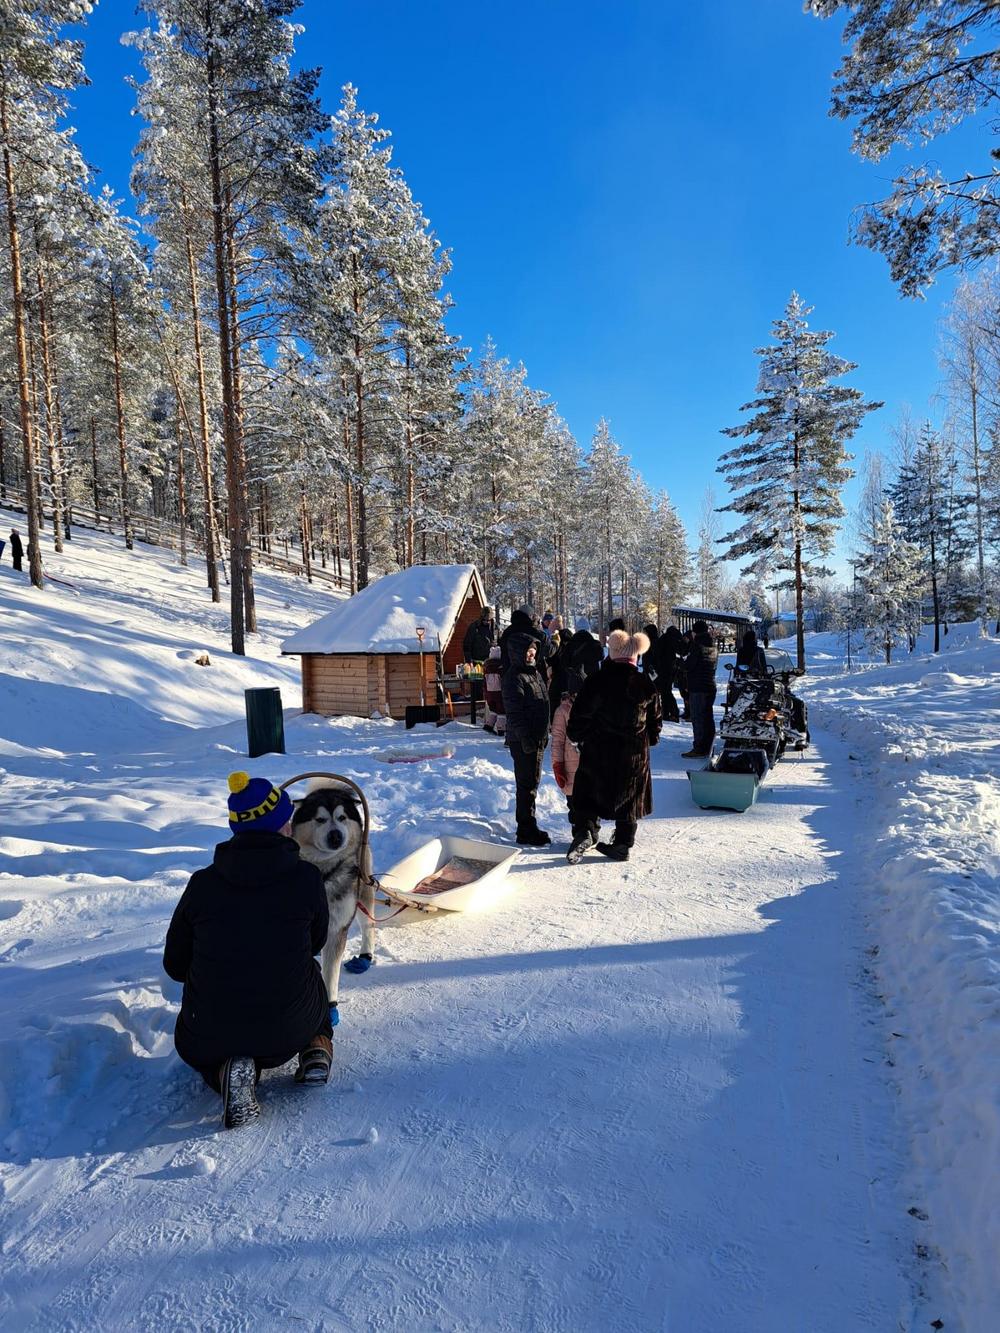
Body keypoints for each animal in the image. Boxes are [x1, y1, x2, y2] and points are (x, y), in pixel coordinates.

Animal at [290, 781, 375, 1018]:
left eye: (342, 817)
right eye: (319, 819)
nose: (336, 835)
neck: (324, 872)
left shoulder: (338, 928)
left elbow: (330, 974)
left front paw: (330, 1007)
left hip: (363, 893)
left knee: (368, 925)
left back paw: (365, 956)